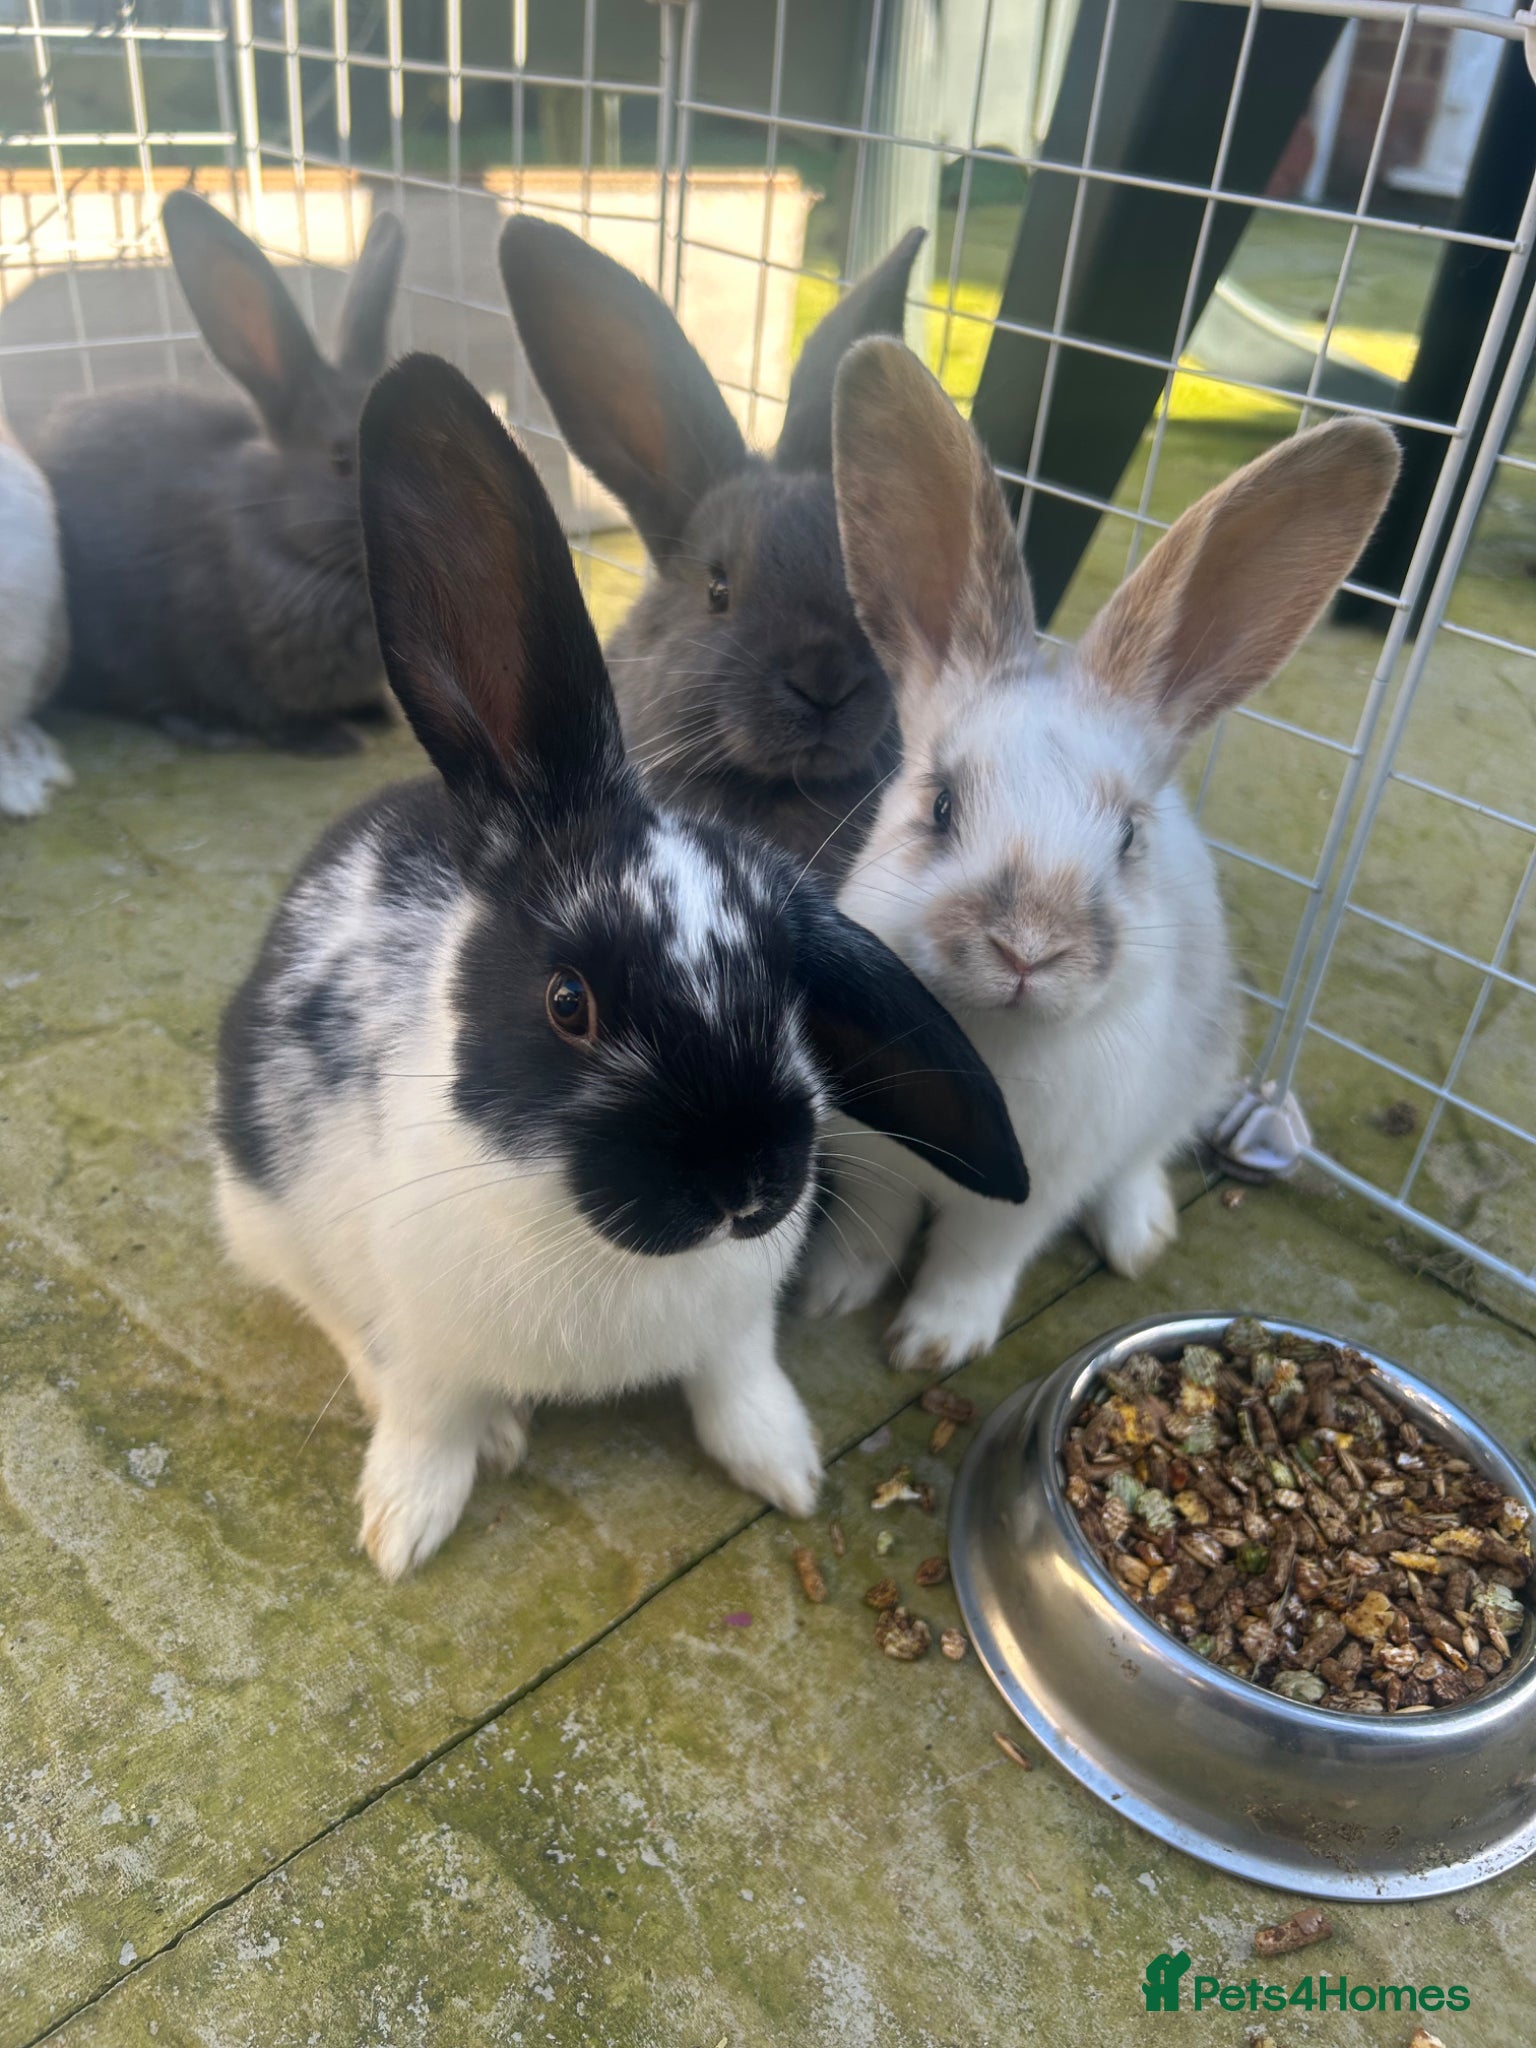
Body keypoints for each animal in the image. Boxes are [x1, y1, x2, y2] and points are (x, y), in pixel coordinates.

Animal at [213, 351, 1027, 1579]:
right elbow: (421, 1414)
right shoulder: (422, 1338)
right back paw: (496, 1433)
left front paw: (789, 1474)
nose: (744, 1185)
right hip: (264, 1210)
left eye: (792, 994)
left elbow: (739, 1390)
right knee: (342, 1325)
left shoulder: (738, 1328)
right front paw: (403, 1530)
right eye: (568, 1002)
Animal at [798, 338, 1399, 1373]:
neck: (988, 1042)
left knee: (1145, 1157)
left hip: (1194, 1072)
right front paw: (831, 1298)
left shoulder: (1023, 1200)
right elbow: (869, 1230)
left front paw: (933, 1345)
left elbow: (973, 1260)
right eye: (939, 805)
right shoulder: (874, 1162)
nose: (1027, 948)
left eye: (1128, 837)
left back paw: (1138, 1236)